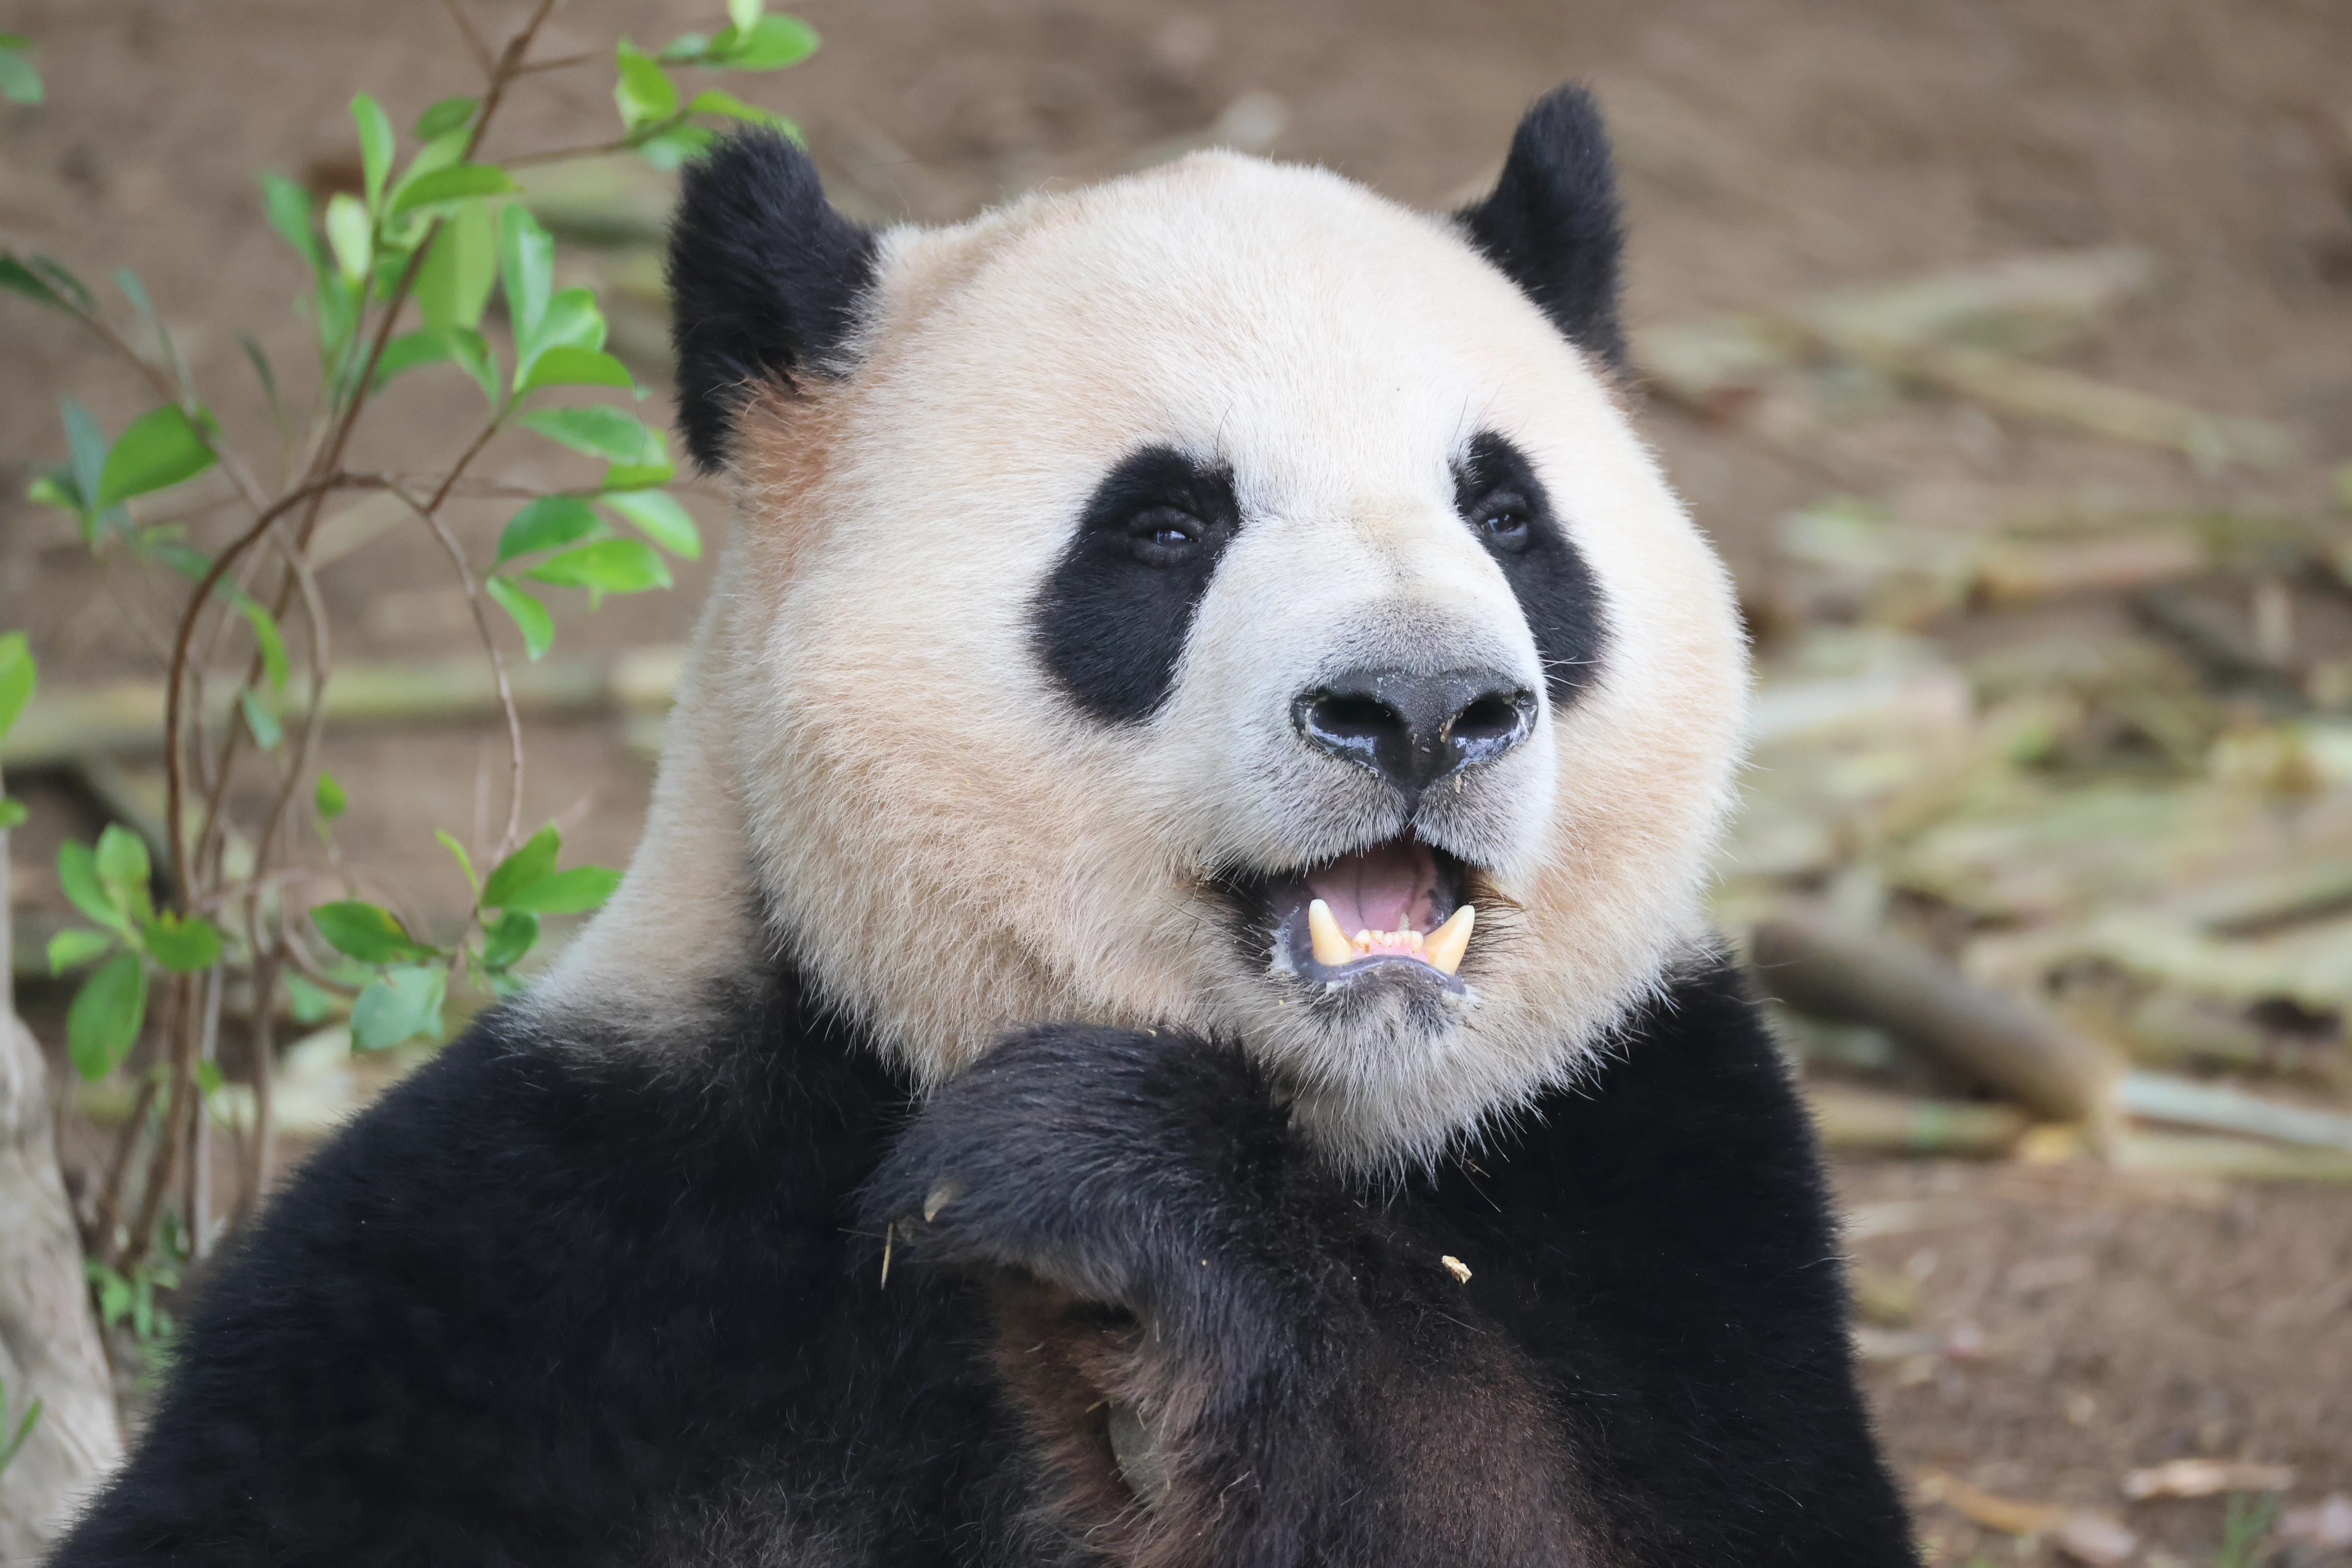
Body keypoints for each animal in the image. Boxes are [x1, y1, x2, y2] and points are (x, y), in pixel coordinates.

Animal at [54, 85, 1914, 1567]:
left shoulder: (1662, 1193)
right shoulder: (571, 1241)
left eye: (1509, 514)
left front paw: (1111, 1196)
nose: (1421, 706)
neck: (1321, 1115)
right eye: (1163, 527)